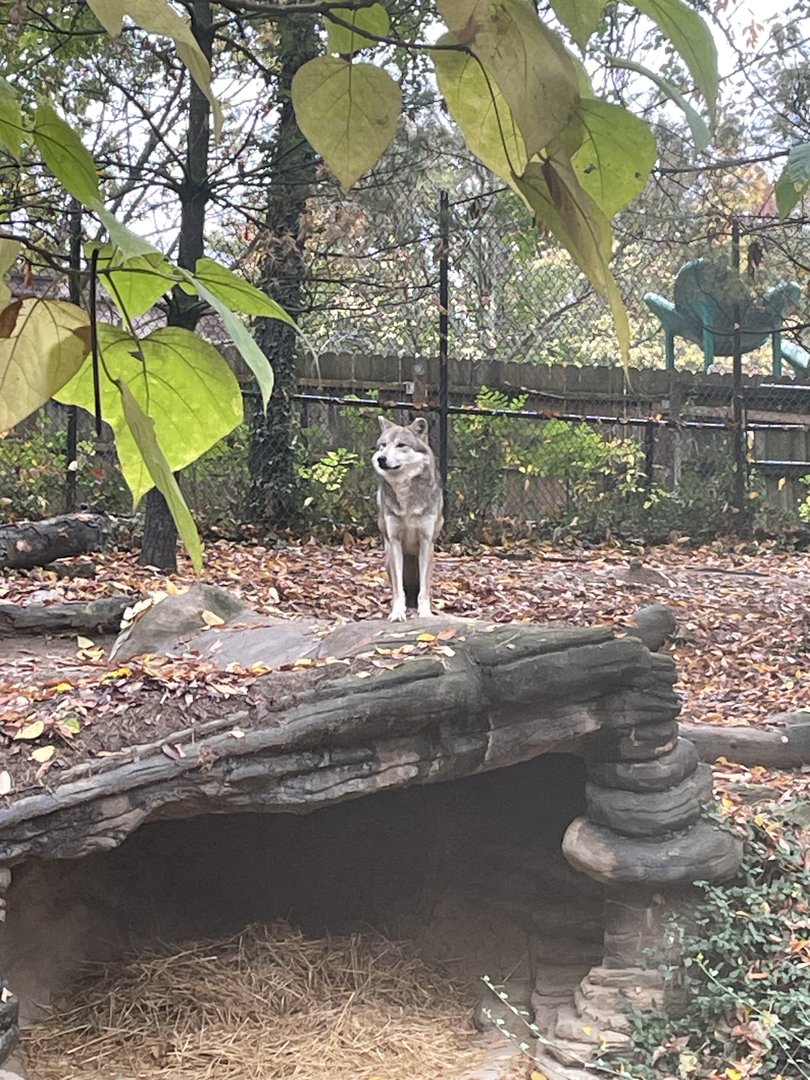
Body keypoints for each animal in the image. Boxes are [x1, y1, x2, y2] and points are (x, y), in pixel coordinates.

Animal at [372, 416, 443, 621]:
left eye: (401, 445)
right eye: (383, 445)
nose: (381, 459)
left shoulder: (426, 542)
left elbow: (424, 591)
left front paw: (425, 613)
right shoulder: (394, 542)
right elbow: (399, 591)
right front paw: (397, 613)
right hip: (388, 558)